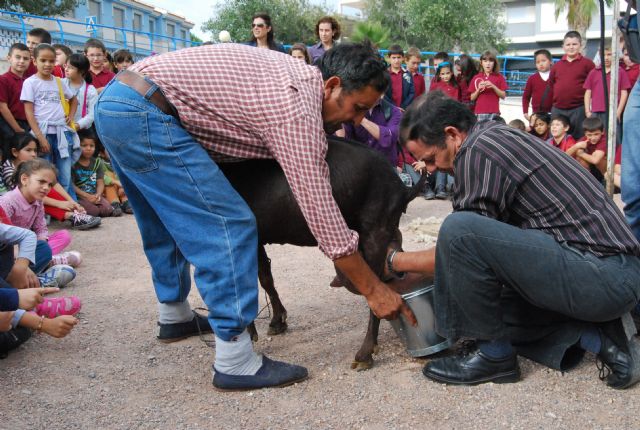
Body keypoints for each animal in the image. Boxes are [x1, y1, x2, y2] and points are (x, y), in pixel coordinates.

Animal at [220, 137, 424, 370]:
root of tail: (401, 186)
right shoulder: (257, 237)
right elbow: (265, 278)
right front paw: (277, 321)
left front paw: (249, 331)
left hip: (375, 230)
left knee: (377, 289)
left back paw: (365, 352)